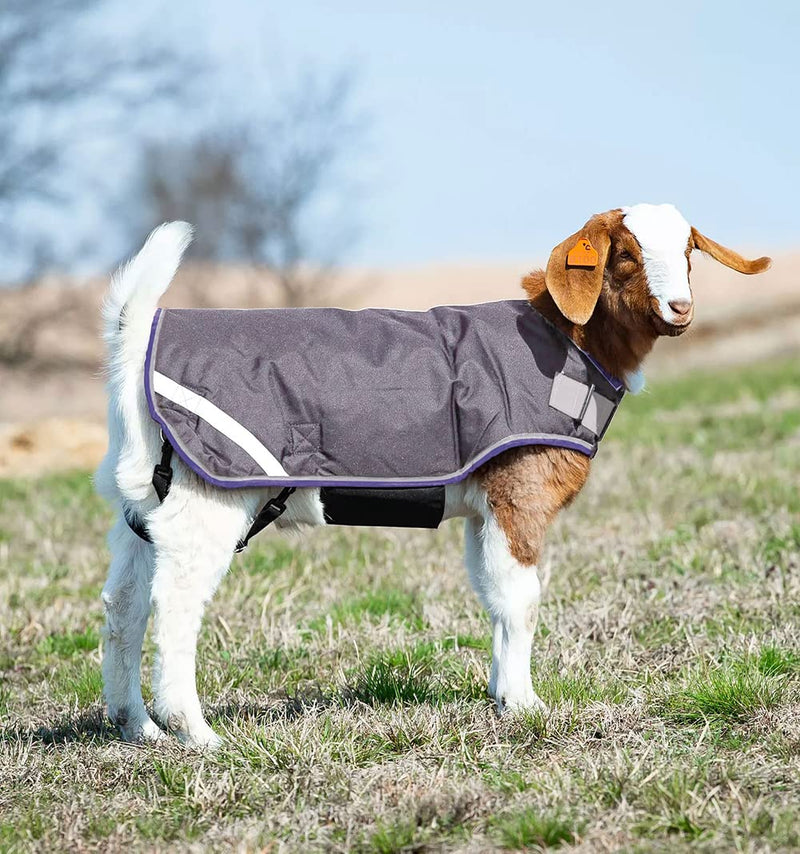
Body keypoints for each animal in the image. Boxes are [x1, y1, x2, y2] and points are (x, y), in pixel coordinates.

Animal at [95, 203, 771, 747]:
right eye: (626, 255)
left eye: (689, 252)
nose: (681, 308)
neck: (568, 343)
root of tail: (140, 338)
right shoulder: (517, 493)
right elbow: (522, 599)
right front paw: (528, 705)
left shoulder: (485, 506)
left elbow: (493, 595)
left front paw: (502, 696)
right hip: (209, 495)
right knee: (176, 602)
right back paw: (195, 732)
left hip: (143, 506)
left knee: (124, 603)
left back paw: (137, 725)